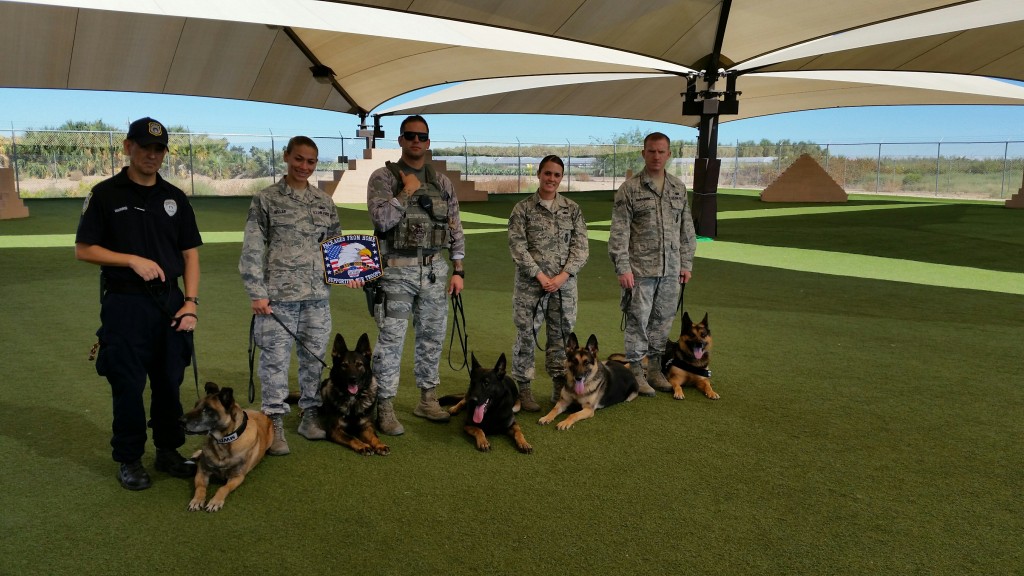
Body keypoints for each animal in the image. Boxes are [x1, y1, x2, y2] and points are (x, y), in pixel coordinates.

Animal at [182, 381, 274, 510]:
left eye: (207, 409)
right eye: (196, 405)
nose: (180, 421)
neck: (223, 443)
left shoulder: (237, 477)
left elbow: (223, 488)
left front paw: (215, 501)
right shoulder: (202, 471)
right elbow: (200, 487)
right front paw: (197, 500)